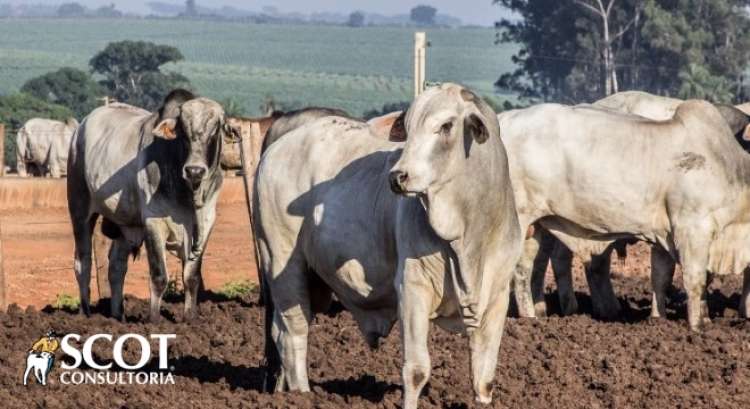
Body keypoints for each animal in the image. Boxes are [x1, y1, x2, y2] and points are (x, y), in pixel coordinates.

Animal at [70, 90, 238, 322]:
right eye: (183, 132)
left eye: (215, 130)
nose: (194, 170)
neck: (187, 193)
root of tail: (81, 126)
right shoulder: (153, 222)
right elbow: (159, 277)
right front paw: (155, 321)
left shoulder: (205, 224)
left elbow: (191, 277)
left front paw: (189, 319)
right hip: (79, 209)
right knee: (83, 263)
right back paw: (85, 313)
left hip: (126, 224)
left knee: (116, 267)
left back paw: (118, 317)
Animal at [254, 83, 524, 408]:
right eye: (407, 128)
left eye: (447, 125)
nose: (398, 177)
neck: (469, 231)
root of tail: (277, 148)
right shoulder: (412, 289)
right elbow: (416, 370)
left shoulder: (496, 298)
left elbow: (484, 376)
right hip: (281, 264)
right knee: (293, 333)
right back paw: (302, 395)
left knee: (282, 333)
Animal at [502, 99, 750, 332]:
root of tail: (504, 120)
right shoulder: (692, 229)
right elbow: (697, 279)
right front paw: (698, 325)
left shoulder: (665, 235)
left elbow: (662, 277)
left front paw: (660, 319)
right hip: (520, 220)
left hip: (537, 224)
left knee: (525, 269)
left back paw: (530, 317)